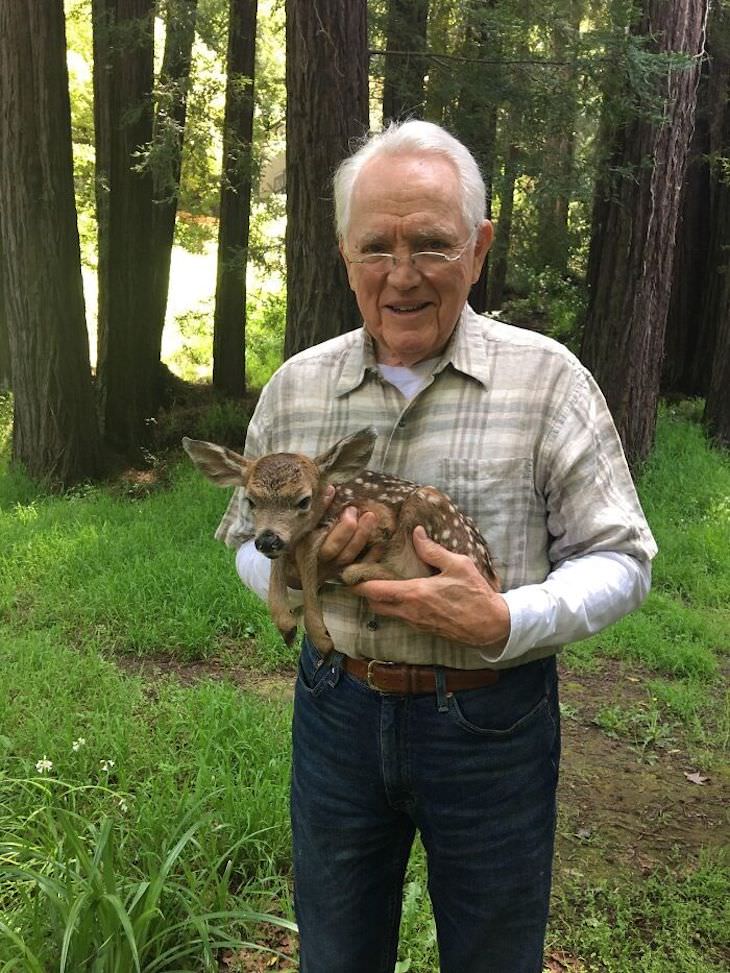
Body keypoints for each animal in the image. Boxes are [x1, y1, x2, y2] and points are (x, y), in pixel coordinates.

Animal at [183, 430, 494, 656]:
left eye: (303, 500)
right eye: (250, 500)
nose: (268, 539)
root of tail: (489, 572)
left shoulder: (375, 518)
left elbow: (307, 550)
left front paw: (320, 638)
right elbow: (287, 558)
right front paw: (286, 625)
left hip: (430, 508)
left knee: (422, 576)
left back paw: (359, 572)